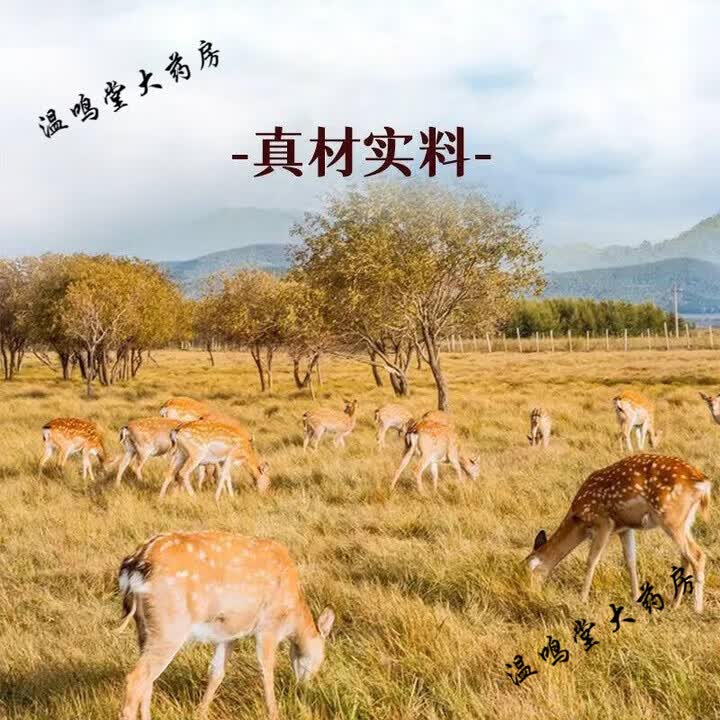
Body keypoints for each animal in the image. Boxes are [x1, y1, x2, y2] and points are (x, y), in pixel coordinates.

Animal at [117, 530, 335, 720]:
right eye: (321, 657)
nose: (303, 687)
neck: (292, 615)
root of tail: (136, 563)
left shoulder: (228, 632)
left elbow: (217, 671)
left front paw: (200, 713)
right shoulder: (268, 626)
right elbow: (266, 668)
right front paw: (274, 713)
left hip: (145, 628)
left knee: (148, 680)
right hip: (170, 625)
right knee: (136, 679)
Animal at [525, 454, 711, 613]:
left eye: (528, 570)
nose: (530, 594)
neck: (579, 520)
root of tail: (702, 482)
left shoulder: (604, 523)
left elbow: (592, 560)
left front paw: (582, 600)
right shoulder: (624, 528)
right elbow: (630, 560)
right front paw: (636, 599)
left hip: (670, 517)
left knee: (697, 555)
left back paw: (697, 609)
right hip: (686, 520)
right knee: (685, 556)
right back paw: (674, 604)